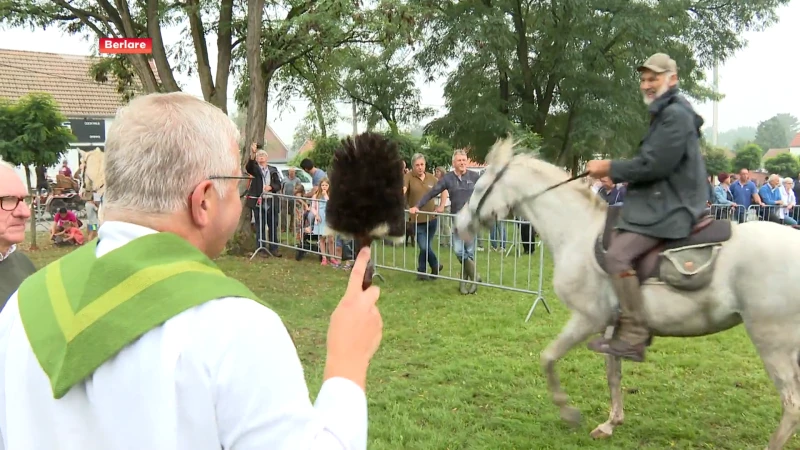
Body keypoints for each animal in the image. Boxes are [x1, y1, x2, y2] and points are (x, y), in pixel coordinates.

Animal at [456, 138, 800, 450]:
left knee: (791, 404)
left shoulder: (588, 319)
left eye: (478, 188)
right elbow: (613, 374)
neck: (577, 231)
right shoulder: (612, 327)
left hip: (772, 341)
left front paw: (568, 413)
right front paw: (611, 423)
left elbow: (548, 358)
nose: (459, 225)